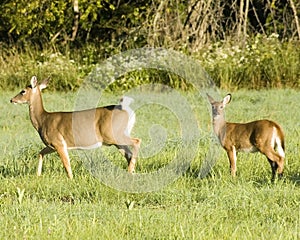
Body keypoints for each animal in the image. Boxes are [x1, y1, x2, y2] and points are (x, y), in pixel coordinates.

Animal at [9, 76, 141, 179]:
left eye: (23, 91)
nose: (11, 99)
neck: (43, 120)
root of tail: (128, 110)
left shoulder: (58, 142)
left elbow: (66, 164)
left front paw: (71, 179)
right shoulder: (52, 145)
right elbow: (40, 153)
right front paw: (38, 175)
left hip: (113, 134)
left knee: (137, 141)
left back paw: (130, 171)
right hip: (116, 139)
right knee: (128, 153)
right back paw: (132, 172)